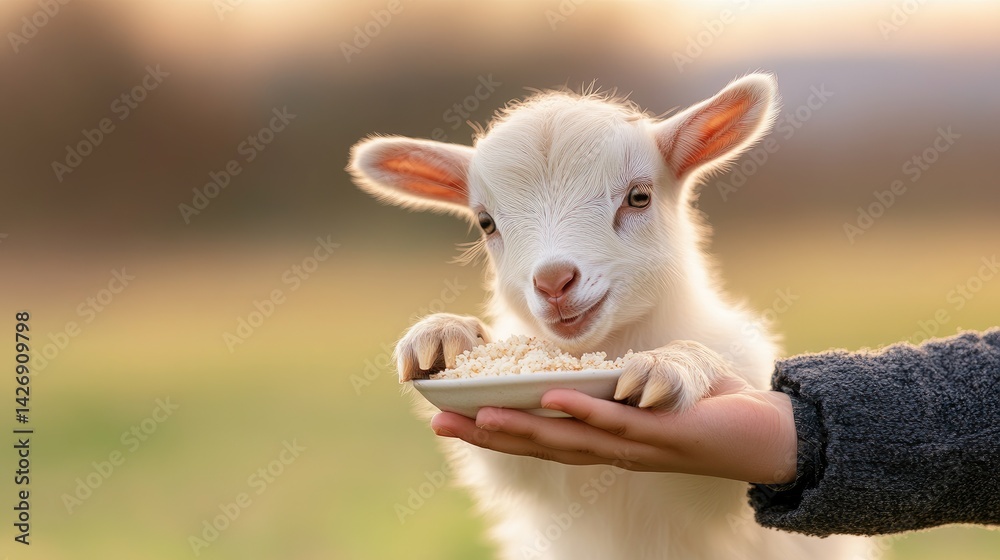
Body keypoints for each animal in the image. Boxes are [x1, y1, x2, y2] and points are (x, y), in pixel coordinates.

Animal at [348, 74, 869, 560]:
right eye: (486, 222)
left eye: (639, 197)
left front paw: (670, 365)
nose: (554, 282)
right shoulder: (531, 480)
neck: (610, 344)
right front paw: (441, 335)